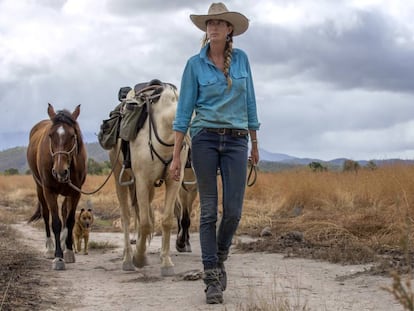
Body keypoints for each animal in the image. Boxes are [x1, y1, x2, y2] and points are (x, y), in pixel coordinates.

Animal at [27, 104, 87, 270]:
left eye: (72, 135)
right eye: (50, 135)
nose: (60, 171)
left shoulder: (75, 192)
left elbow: (70, 221)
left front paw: (69, 251)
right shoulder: (49, 191)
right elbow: (55, 223)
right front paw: (58, 257)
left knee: (65, 211)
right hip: (39, 188)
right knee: (46, 214)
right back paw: (49, 248)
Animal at [108, 81, 189, 278]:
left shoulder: (173, 182)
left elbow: (165, 220)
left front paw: (166, 263)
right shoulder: (142, 181)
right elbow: (144, 223)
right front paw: (138, 258)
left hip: (149, 187)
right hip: (120, 176)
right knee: (126, 216)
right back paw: (127, 259)